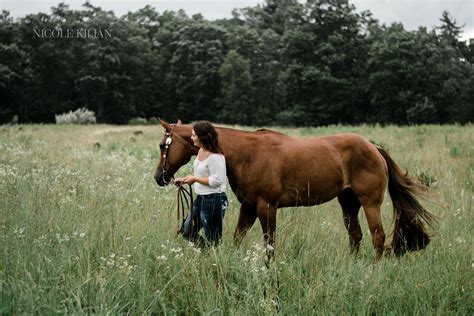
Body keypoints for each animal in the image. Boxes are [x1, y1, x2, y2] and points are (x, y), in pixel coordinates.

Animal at [156, 119, 436, 258]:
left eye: (162, 145)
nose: (160, 177)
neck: (247, 154)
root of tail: (373, 147)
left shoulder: (266, 207)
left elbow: (270, 243)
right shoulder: (249, 206)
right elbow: (238, 238)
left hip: (370, 203)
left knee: (377, 236)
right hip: (348, 202)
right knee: (355, 236)